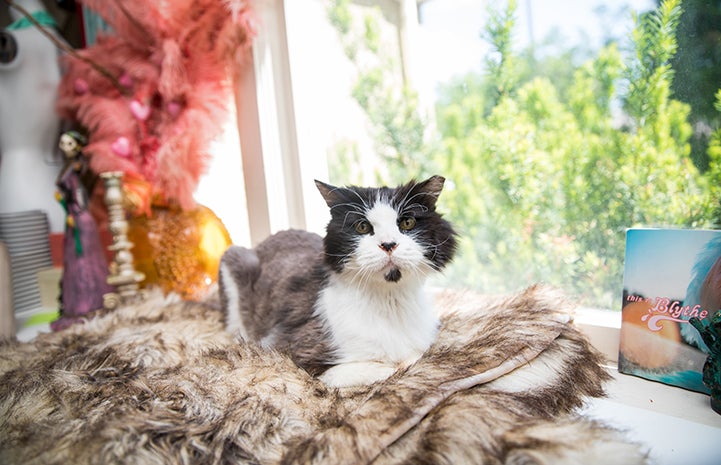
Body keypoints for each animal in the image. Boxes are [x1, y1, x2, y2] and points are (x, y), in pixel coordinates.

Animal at [217, 174, 458, 384]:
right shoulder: (288, 347)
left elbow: (416, 355)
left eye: (407, 223)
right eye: (362, 226)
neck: (390, 301)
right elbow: (390, 367)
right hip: (233, 258)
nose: (388, 244)